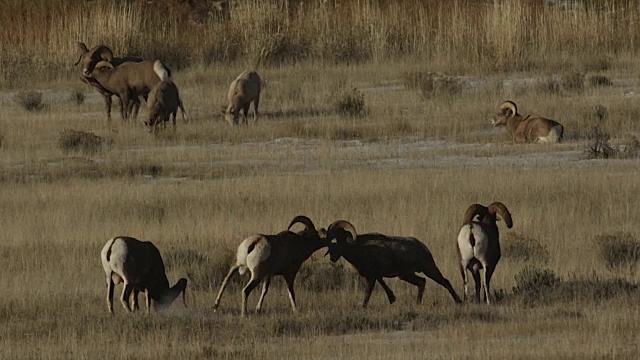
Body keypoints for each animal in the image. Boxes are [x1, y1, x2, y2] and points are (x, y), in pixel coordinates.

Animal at [324, 219, 460, 306]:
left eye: (339, 238)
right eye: (330, 241)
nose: (333, 257)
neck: (361, 248)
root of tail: (422, 247)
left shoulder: (371, 277)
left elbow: (368, 293)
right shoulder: (375, 275)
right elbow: (382, 283)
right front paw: (392, 298)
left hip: (428, 269)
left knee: (444, 282)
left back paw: (459, 301)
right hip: (406, 275)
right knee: (422, 282)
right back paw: (418, 304)